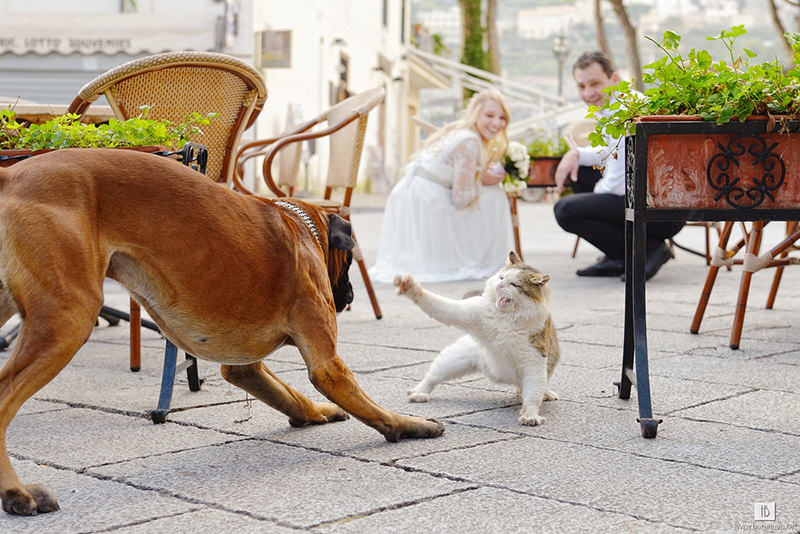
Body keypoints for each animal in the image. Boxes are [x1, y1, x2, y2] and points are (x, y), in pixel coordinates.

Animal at [0, 149, 444, 516]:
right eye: (350, 260)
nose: (350, 295)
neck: (298, 226)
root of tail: (12, 174)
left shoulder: (245, 369)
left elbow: (290, 395)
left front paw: (316, 413)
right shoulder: (328, 365)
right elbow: (370, 406)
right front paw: (410, 425)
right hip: (69, 318)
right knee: (5, 397)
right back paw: (15, 492)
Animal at [396, 253, 560, 430]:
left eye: (515, 285)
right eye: (501, 277)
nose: (499, 286)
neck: (506, 318)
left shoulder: (533, 361)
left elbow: (533, 394)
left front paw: (530, 414)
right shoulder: (468, 313)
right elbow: (441, 306)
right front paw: (411, 287)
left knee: (535, 388)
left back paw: (546, 393)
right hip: (453, 361)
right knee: (432, 377)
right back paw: (420, 392)